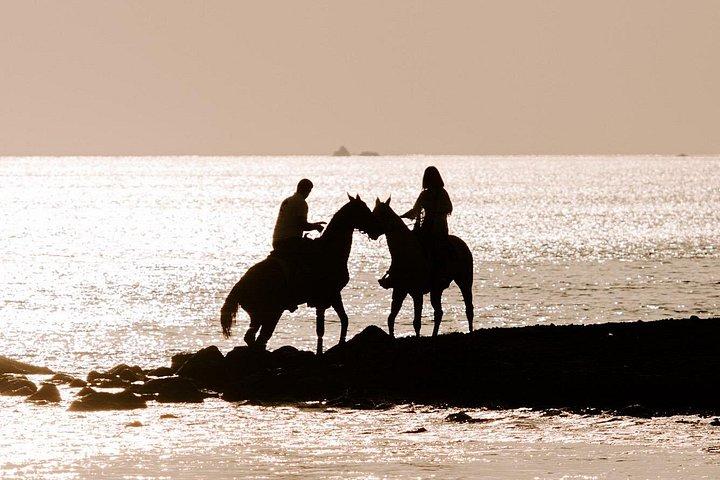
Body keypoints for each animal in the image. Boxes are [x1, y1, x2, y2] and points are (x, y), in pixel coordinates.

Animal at [220, 194, 380, 355]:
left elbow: (333, 324)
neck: (329, 250)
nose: (375, 229)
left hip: (260, 316)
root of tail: (239, 286)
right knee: (259, 339)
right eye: (364, 210)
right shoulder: (331, 296)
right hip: (271, 314)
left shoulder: (327, 299)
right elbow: (333, 325)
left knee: (253, 338)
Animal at [372, 197, 474, 337]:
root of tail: (463, 245)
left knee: (468, 309)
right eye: (373, 212)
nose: (371, 232)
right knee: (438, 312)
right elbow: (391, 318)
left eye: (382, 214)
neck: (406, 253)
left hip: (464, 282)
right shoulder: (399, 290)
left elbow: (417, 322)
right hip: (437, 289)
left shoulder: (417, 293)